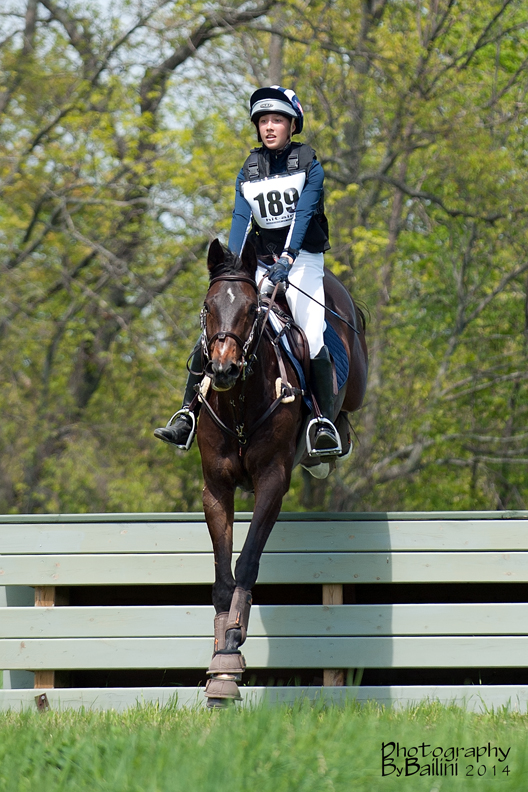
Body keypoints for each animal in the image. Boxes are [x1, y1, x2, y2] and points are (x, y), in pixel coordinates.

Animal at [195, 237, 368, 704]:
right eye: (208, 307)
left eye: (251, 310)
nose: (222, 369)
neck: (238, 400)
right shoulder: (216, 487)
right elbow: (222, 575)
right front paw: (219, 664)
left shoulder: (272, 480)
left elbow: (247, 562)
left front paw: (232, 649)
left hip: (356, 380)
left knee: (343, 402)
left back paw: (326, 436)